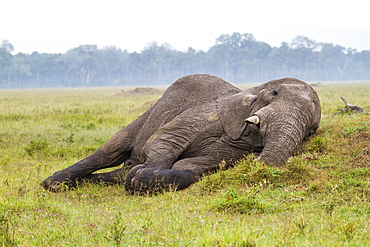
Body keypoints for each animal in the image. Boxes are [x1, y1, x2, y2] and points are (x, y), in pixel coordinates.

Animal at [41, 74, 320, 194]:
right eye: (274, 93)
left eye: (311, 128)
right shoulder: (208, 113)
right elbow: (163, 141)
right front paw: (140, 173)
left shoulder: (235, 150)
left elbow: (191, 168)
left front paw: (138, 178)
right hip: (149, 113)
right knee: (108, 151)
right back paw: (53, 184)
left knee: (115, 169)